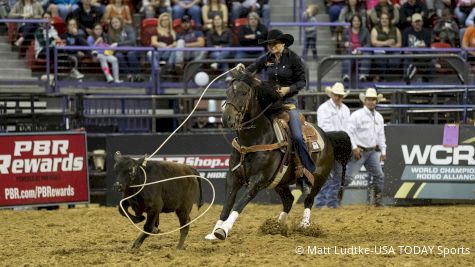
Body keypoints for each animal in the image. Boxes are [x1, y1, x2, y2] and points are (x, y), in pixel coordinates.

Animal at [205, 69, 354, 241]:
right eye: (227, 92)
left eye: (243, 93)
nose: (226, 119)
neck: (254, 139)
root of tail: (327, 137)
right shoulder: (233, 177)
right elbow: (227, 204)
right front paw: (214, 231)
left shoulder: (258, 180)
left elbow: (239, 203)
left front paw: (223, 230)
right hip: (280, 182)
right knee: (289, 200)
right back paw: (276, 226)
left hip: (318, 180)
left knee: (309, 200)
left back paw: (304, 226)